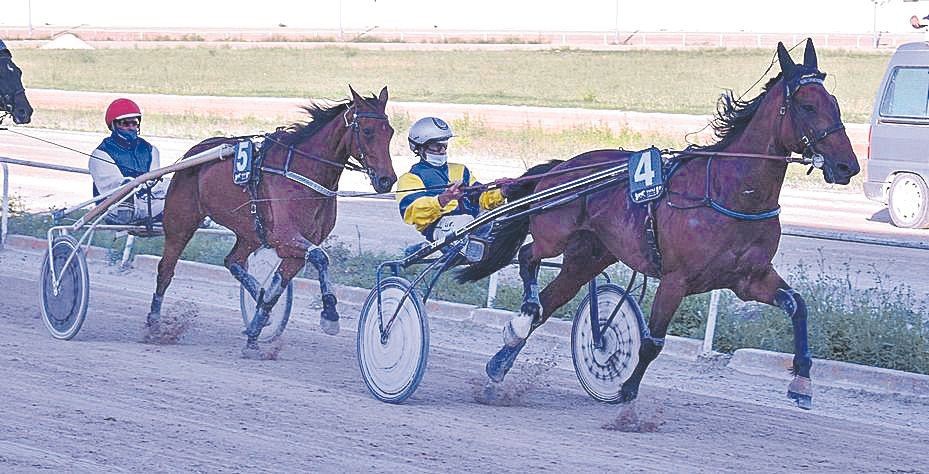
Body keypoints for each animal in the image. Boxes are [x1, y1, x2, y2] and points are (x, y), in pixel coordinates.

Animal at [146, 85, 396, 356]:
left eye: (390, 132)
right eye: (368, 131)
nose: (387, 180)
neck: (304, 171)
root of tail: (192, 153)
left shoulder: (296, 247)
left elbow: (277, 287)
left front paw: (255, 333)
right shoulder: (284, 237)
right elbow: (321, 258)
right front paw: (330, 314)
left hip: (251, 233)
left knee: (233, 261)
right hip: (181, 222)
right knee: (166, 270)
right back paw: (155, 323)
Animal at [456, 39, 856, 410]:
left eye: (835, 103)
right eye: (807, 106)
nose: (847, 166)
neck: (731, 193)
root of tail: (563, 166)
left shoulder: (749, 278)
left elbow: (798, 306)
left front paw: (802, 382)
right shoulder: (676, 280)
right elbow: (653, 342)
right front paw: (626, 390)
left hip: (588, 257)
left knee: (550, 301)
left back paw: (498, 366)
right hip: (555, 233)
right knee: (528, 259)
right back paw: (520, 320)